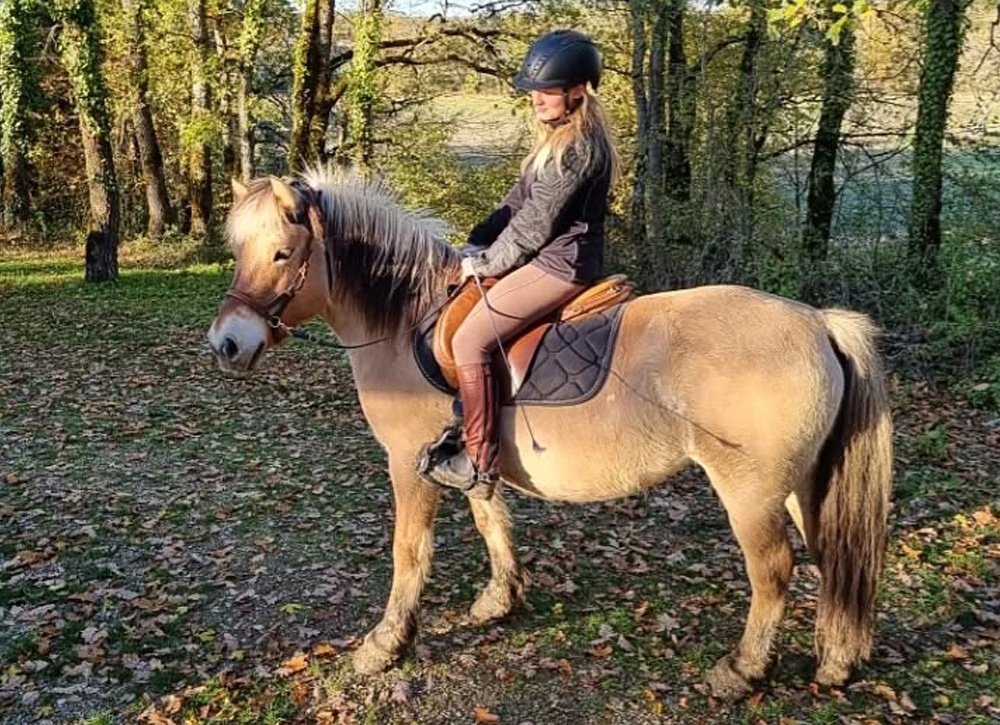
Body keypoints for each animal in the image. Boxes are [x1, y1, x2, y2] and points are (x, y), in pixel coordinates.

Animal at [206, 169, 893, 699]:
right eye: (238, 251)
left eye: (282, 254)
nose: (227, 344)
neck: (406, 322)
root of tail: (818, 322)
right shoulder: (467, 455)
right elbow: (492, 519)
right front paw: (500, 600)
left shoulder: (408, 463)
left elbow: (410, 552)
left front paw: (385, 644)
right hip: (803, 487)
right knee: (834, 559)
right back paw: (837, 661)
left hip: (751, 493)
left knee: (774, 570)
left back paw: (743, 671)